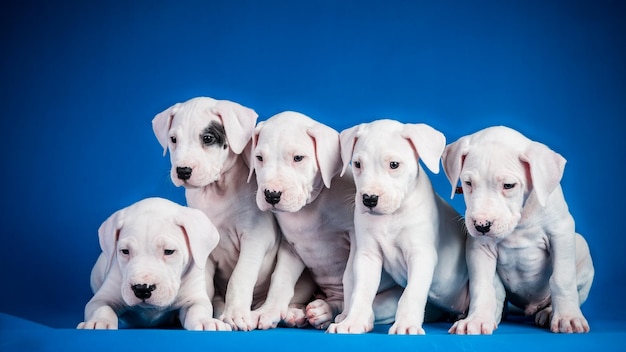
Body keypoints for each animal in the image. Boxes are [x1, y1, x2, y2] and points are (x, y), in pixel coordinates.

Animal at [75, 198, 227, 330]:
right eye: (125, 251)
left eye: (169, 251)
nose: (142, 288)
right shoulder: (102, 297)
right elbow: (102, 307)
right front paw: (98, 321)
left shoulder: (195, 298)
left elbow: (198, 309)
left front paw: (205, 321)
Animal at [249, 112, 400, 330]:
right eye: (259, 158)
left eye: (298, 158)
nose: (271, 194)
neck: (307, 209)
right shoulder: (290, 246)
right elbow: (280, 280)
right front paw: (269, 311)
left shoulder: (354, 236)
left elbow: (350, 278)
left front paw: (347, 317)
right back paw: (299, 312)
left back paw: (327, 311)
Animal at [326, 119, 468, 334]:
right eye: (358, 164)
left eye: (394, 165)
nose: (369, 199)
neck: (390, 217)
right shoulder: (368, 256)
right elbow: (361, 292)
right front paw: (354, 321)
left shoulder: (421, 256)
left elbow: (411, 294)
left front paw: (407, 325)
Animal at [442, 125, 592, 334]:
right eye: (468, 183)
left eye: (508, 185)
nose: (481, 225)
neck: (520, 220)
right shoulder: (480, 247)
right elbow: (483, 286)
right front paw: (477, 319)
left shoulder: (560, 231)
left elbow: (562, 279)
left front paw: (567, 317)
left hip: (581, 246)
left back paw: (549, 312)